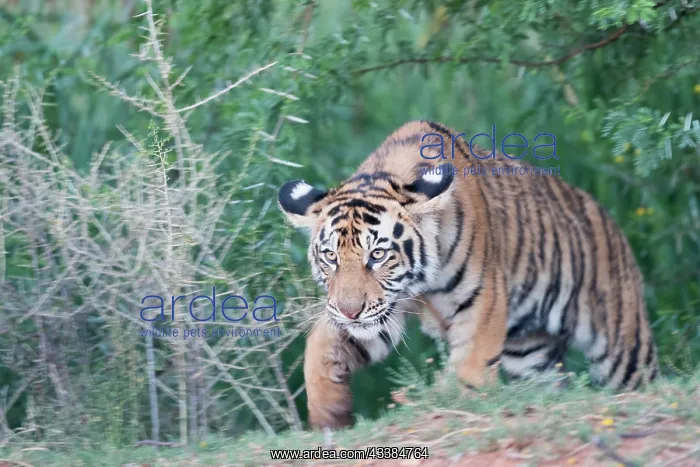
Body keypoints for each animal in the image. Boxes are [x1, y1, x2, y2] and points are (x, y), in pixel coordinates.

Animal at [277, 120, 658, 430]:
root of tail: (614, 227)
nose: (349, 311)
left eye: (378, 255)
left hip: (623, 348)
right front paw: (329, 415)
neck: (419, 284)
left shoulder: (481, 302)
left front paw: (450, 402)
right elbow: (320, 346)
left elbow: (469, 367)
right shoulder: (381, 309)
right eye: (330, 257)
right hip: (531, 354)